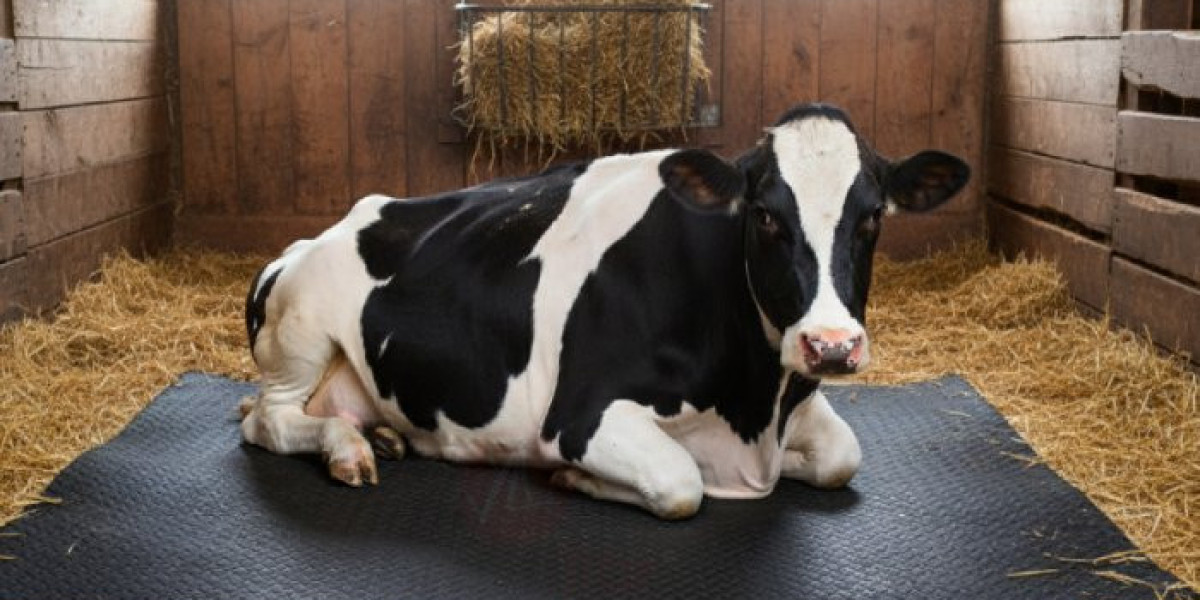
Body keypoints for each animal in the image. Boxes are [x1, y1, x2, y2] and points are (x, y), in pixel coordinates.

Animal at [239, 103, 969, 519]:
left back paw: (385, 437)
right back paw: (346, 449)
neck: (754, 406)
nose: (832, 345)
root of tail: (335, 223)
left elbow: (843, 457)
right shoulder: (580, 416)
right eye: (765, 215)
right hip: (301, 330)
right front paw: (573, 479)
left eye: (873, 216)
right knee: (268, 421)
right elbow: (680, 484)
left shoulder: (798, 398)